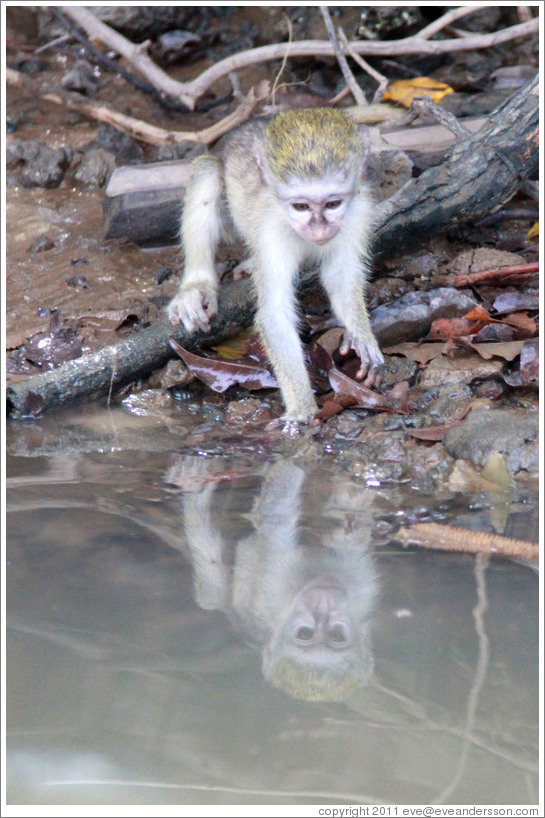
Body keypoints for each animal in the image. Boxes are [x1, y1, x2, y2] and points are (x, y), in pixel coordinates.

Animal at [167, 107, 382, 420]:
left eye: (332, 204)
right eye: (301, 206)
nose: (319, 230)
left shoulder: (358, 213)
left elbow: (339, 277)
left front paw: (361, 335)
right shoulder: (271, 230)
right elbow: (275, 312)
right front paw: (302, 410)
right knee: (208, 170)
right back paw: (197, 287)